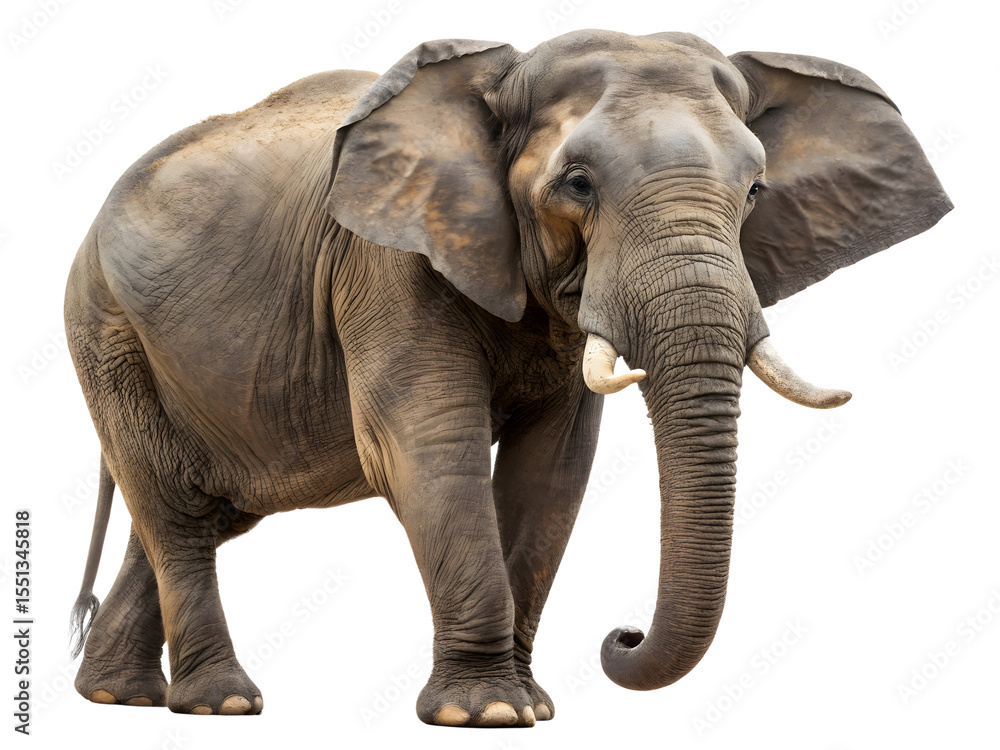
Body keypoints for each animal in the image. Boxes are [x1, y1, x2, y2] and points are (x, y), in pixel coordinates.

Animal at [65, 29, 951, 726]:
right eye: (578, 184)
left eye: (756, 190)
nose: (621, 635)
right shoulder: (385, 261)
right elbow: (425, 448)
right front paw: (486, 712)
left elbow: (552, 468)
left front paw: (527, 706)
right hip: (106, 331)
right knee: (174, 508)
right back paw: (221, 703)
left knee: (202, 509)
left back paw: (118, 696)